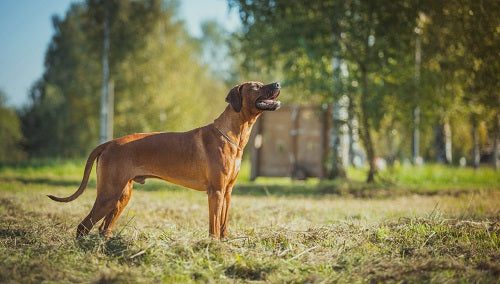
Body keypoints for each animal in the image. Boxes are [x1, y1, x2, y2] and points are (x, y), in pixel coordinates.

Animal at [47, 81, 282, 239]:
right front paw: (214, 246)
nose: (278, 83)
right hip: (109, 194)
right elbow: (214, 226)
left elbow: (223, 224)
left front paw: (224, 245)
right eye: (256, 86)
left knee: (104, 228)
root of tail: (109, 142)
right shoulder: (215, 191)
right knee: (83, 227)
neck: (232, 134)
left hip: (122, 195)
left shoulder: (228, 191)